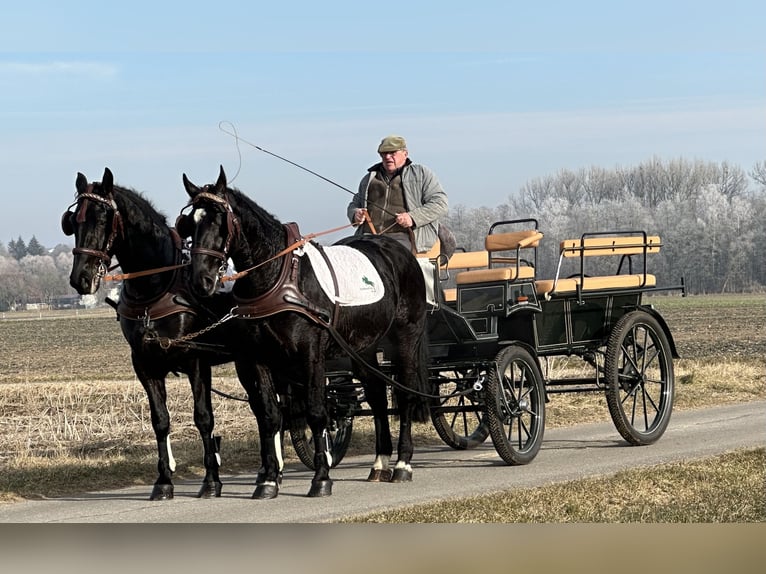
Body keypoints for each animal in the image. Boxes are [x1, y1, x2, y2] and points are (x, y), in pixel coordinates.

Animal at [62, 169, 237, 502]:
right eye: (73, 221)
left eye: (102, 219)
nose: (81, 278)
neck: (157, 287)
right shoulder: (145, 364)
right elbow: (160, 421)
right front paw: (164, 480)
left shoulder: (196, 361)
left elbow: (203, 417)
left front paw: (211, 480)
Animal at [180, 166, 432, 500]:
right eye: (189, 223)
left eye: (220, 220)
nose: (201, 281)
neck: (277, 276)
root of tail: (399, 252)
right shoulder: (258, 359)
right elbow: (270, 416)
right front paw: (268, 481)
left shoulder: (310, 354)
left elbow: (316, 412)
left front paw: (321, 478)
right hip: (362, 347)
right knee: (378, 395)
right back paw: (379, 463)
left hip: (404, 337)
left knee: (404, 395)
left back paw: (403, 464)